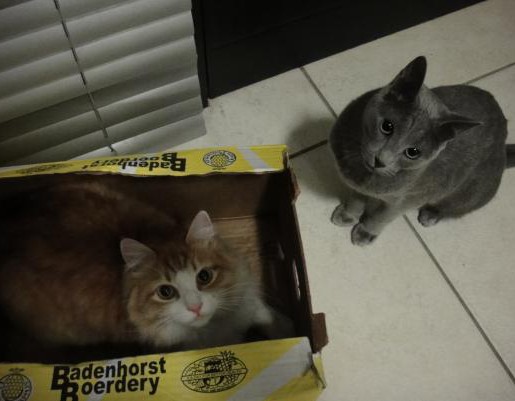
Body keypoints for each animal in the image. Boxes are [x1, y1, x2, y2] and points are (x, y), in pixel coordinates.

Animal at [329, 56, 515, 246]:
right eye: (386, 126)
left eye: (413, 152)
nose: (380, 160)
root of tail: (503, 148)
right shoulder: (358, 187)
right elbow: (355, 199)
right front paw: (347, 214)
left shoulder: (404, 199)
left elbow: (382, 216)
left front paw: (365, 232)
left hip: (469, 193)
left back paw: (430, 215)